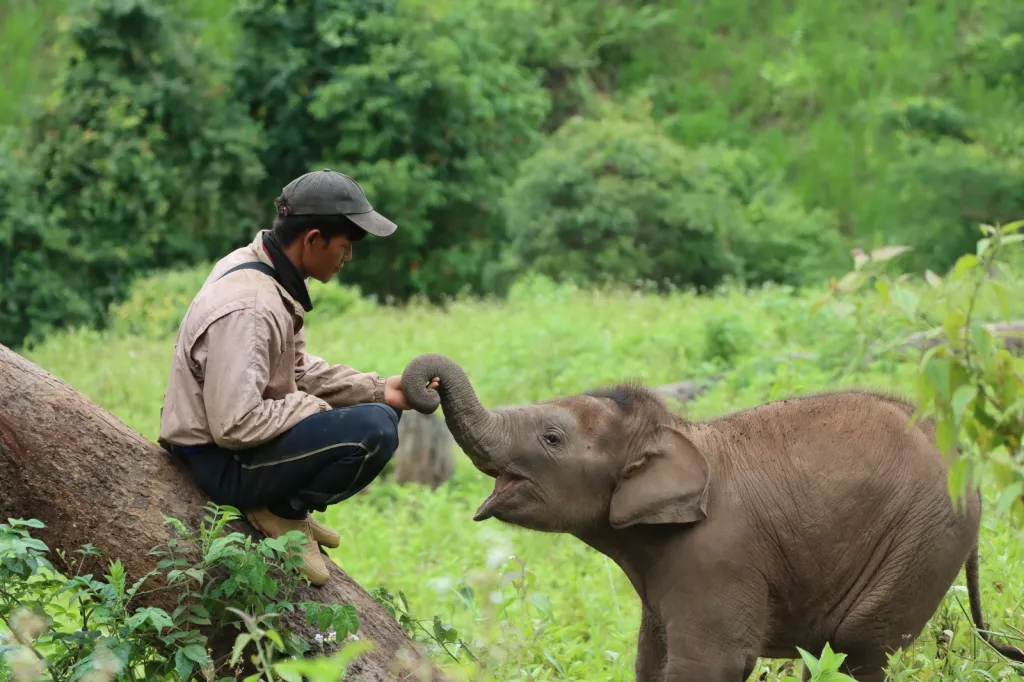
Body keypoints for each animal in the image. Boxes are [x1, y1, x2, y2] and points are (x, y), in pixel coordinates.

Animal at [398, 353, 1024, 682]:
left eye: (552, 438)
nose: (427, 385)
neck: (673, 430)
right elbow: (650, 661)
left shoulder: (717, 555)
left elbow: (711, 664)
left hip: (921, 544)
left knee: (857, 649)